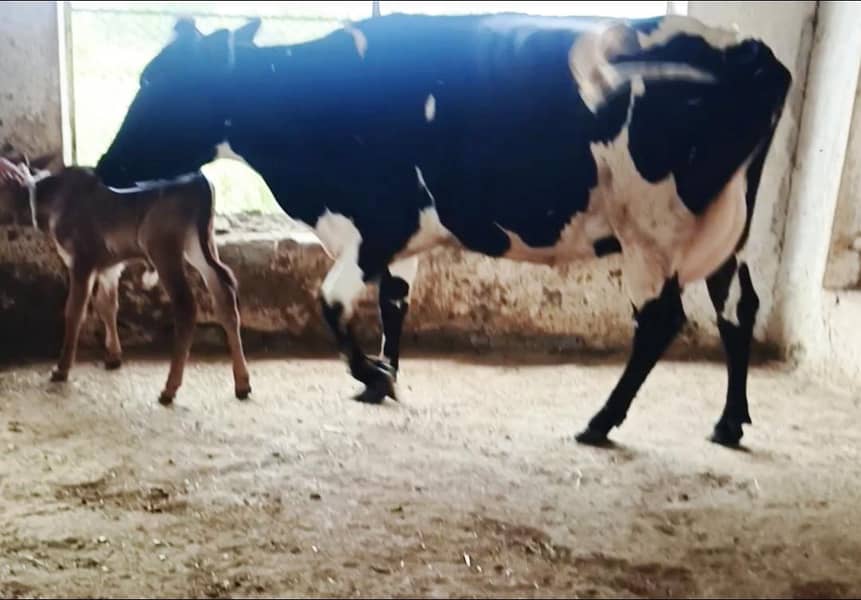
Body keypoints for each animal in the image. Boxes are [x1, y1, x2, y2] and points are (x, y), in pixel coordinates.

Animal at [0, 155, 252, 405]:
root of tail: (199, 179)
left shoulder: (82, 258)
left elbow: (74, 310)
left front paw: (61, 369)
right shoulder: (110, 266)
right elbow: (107, 305)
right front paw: (113, 356)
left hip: (162, 244)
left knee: (186, 304)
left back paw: (169, 388)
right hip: (199, 243)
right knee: (224, 292)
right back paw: (242, 383)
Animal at [93, 11, 792, 447]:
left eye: (164, 82)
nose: (104, 167)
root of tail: (753, 52)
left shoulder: (379, 224)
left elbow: (330, 303)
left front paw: (372, 375)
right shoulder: (401, 240)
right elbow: (393, 303)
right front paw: (385, 378)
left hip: (653, 229)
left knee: (661, 320)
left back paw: (601, 421)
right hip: (727, 232)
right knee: (738, 307)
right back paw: (730, 422)